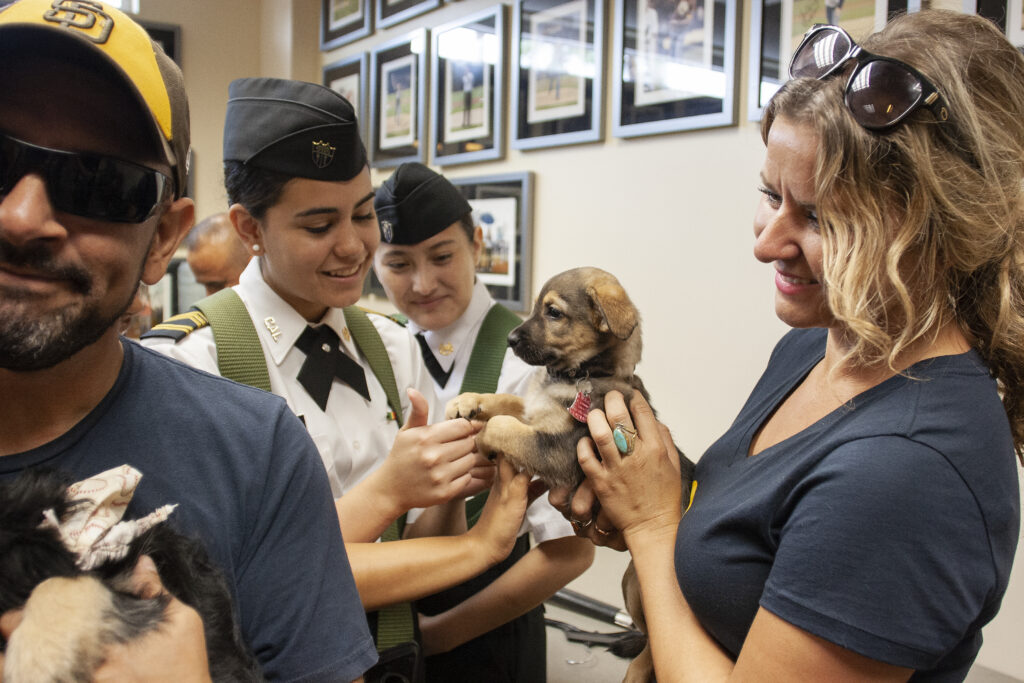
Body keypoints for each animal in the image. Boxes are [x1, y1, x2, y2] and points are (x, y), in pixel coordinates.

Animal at [446, 266, 692, 683]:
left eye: (553, 313)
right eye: (536, 308)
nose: (510, 339)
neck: (578, 375)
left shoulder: (559, 448)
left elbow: (503, 427)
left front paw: (482, 439)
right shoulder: (533, 411)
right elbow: (507, 401)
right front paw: (468, 402)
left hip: (638, 586)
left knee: (654, 644)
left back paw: (635, 671)